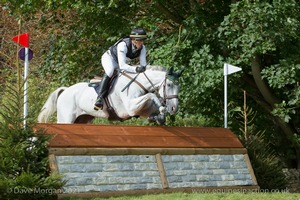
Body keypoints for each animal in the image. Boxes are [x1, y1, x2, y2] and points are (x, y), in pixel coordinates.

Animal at [37, 65, 183, 125]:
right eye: (169, 85)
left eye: (179, 86)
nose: (174, 108)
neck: (139, 83)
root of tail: (65, 90)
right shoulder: (130, 108)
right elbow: (151, 96)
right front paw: (162, 108)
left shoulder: (139, 109)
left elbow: (151, 107)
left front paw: (160, 115)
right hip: (66, 119)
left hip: (82, 119)